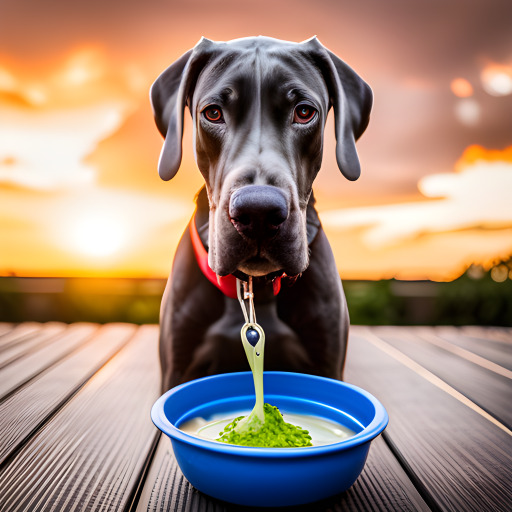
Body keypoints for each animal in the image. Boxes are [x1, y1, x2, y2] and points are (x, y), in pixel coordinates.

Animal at [152, 37, 372, 388]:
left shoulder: (327, 364)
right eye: (213, 113)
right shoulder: (177, 370)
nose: (258, 212)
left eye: (304, 112)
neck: (256, 289)